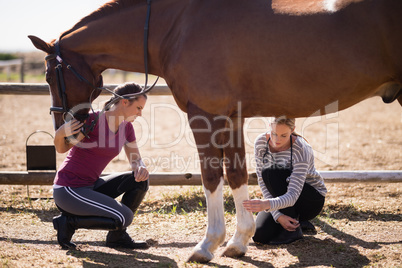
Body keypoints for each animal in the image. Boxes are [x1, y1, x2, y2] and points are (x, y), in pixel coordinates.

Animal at [29, 0, 402, 264]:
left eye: (49, 75)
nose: (67, 132)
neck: (177, 26)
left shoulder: (204, 116)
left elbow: (210, 175)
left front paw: (207, 245)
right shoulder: (231, 118)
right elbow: (236, 174)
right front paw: (238, 242)